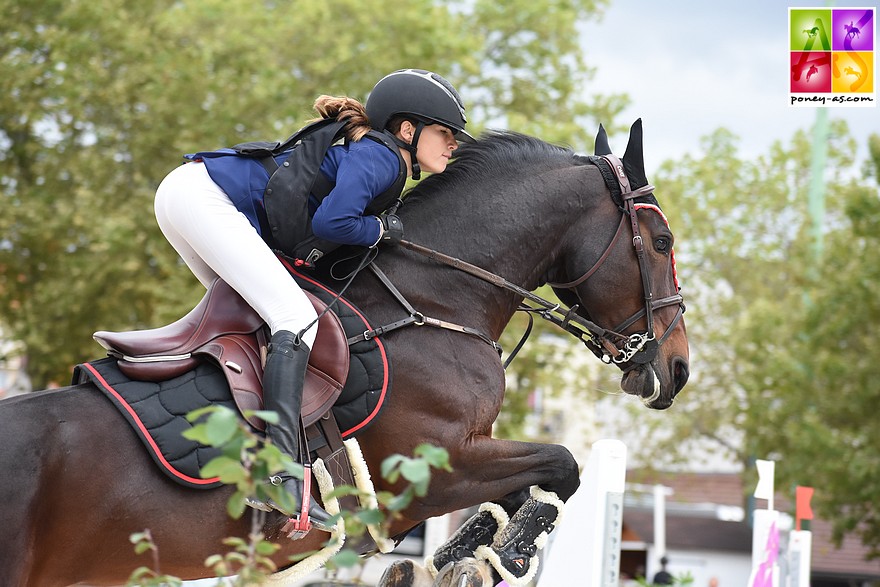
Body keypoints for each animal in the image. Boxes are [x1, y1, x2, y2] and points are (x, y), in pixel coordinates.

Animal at [0, 120, 688, 587]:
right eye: (660, 241)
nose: (677, 369)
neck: (432, 299)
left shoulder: (469, 453)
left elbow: (535, 481)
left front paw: (465, 556)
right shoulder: (430, 467)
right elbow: (562, 464)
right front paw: (502, 556)